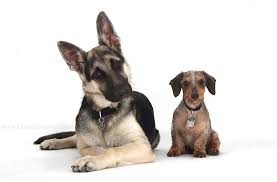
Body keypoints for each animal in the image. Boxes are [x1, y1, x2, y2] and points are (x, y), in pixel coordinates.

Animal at [34, 11, 160, 172]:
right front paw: (90, 156)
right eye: (98, 75)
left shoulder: (142, 146)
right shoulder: (86, 144)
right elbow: (95, 148)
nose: (124, 91)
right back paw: (53, 141)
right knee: (74, 138)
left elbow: (113, 149)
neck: (104, 112)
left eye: (117, 64)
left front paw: (91, 159)